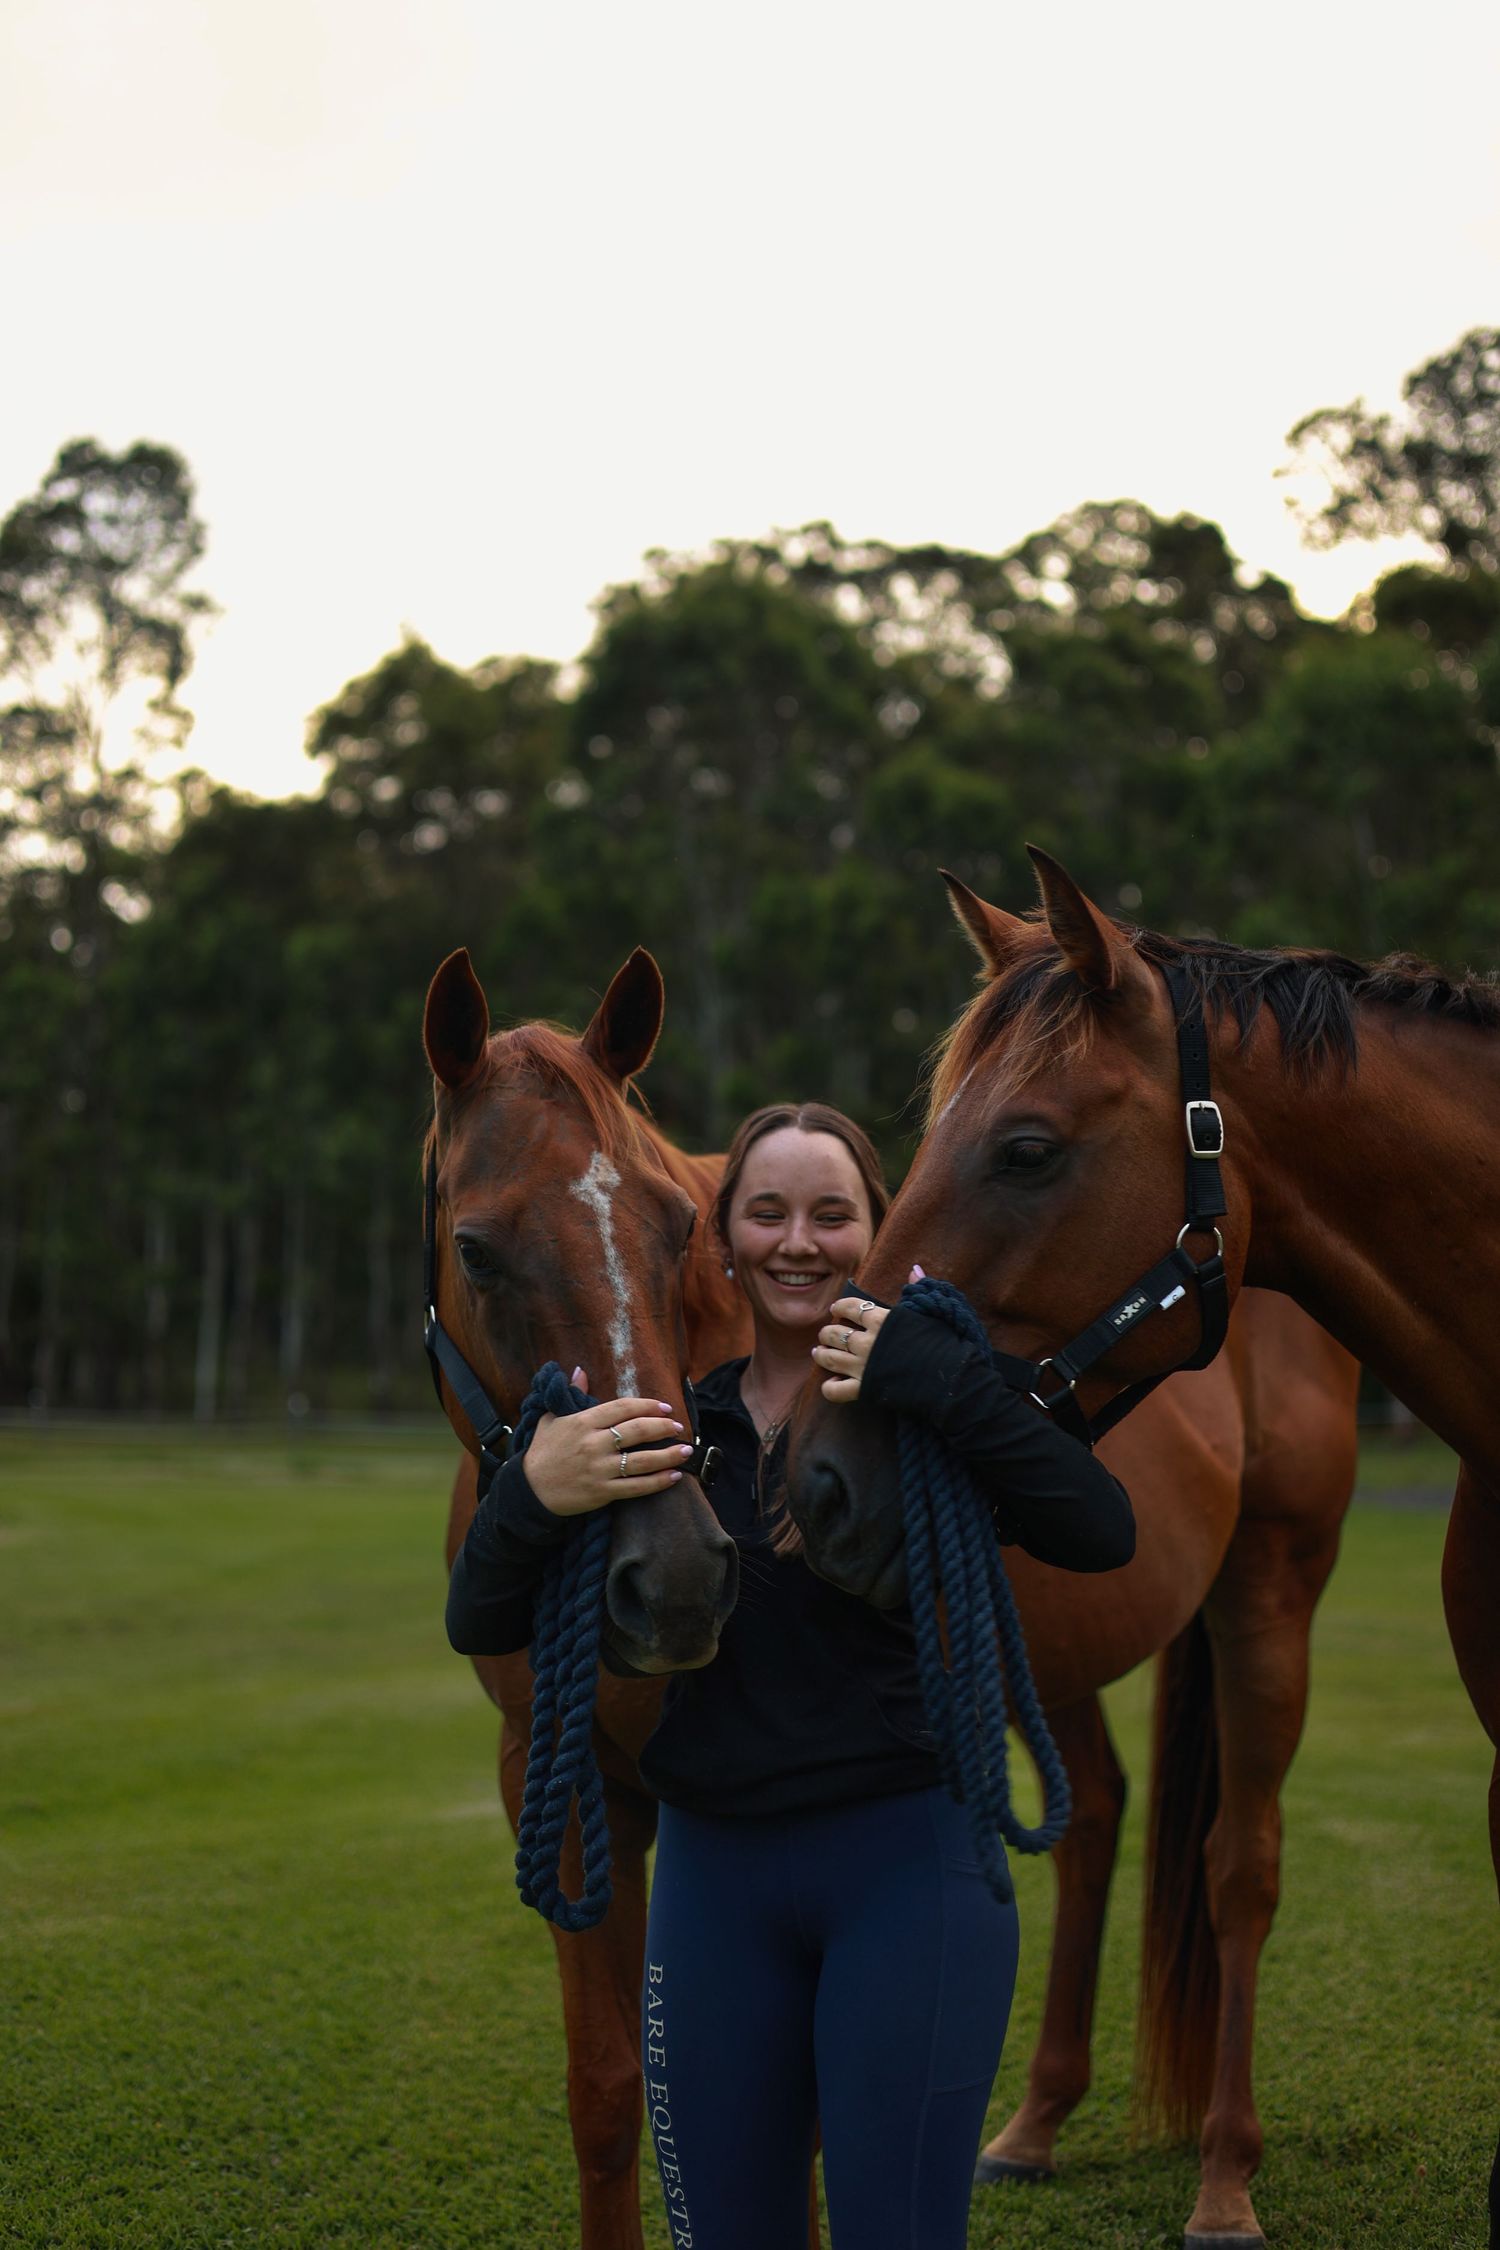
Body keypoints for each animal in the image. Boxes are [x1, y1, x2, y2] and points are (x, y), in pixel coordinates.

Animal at [788, 868, 1365, 2249]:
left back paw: (1223, 2171)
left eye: (1028, 1149)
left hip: (1268, 1592)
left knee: (1238, 1858)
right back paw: (1036, 2122)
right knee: (1100, 1810)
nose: (816, 1477)